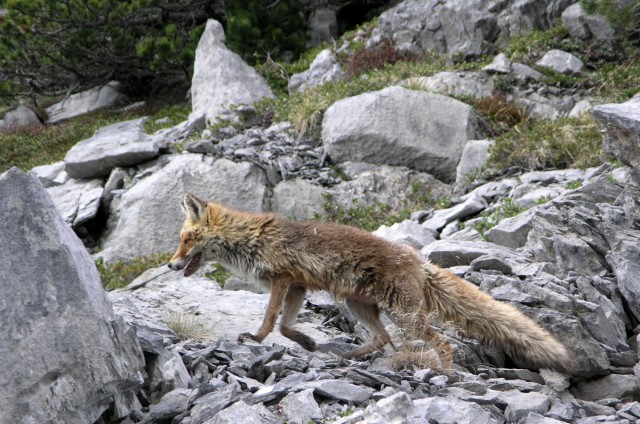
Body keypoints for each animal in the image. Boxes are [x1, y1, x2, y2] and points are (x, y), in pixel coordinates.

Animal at [166, 194, 576, 372]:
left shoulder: (282, 280)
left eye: (185, 240)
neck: (252, 239)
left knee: (438, 342)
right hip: (359, 306)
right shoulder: (297, 286)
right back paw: (347, 356)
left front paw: (255, 338)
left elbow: (270, 321)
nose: (170, 265)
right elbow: (285, 326)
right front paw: (307, 342)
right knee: (382, 340)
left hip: (405, 317)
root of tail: (419, 260)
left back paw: (442, 372)